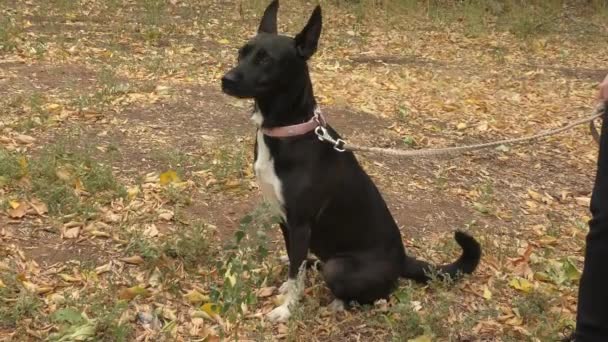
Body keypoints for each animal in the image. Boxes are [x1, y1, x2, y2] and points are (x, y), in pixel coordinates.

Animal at [221, 0, 482, 320]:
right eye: (241, 53)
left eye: (265, 59)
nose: (225, 80)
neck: (288, 130)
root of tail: (402, 260)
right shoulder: (283, 219)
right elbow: (296, 269)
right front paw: (288, 291)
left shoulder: (300, 224)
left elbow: (296, 271)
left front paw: (287, 309)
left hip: (339, 266)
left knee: (378, 294)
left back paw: (339, 302)